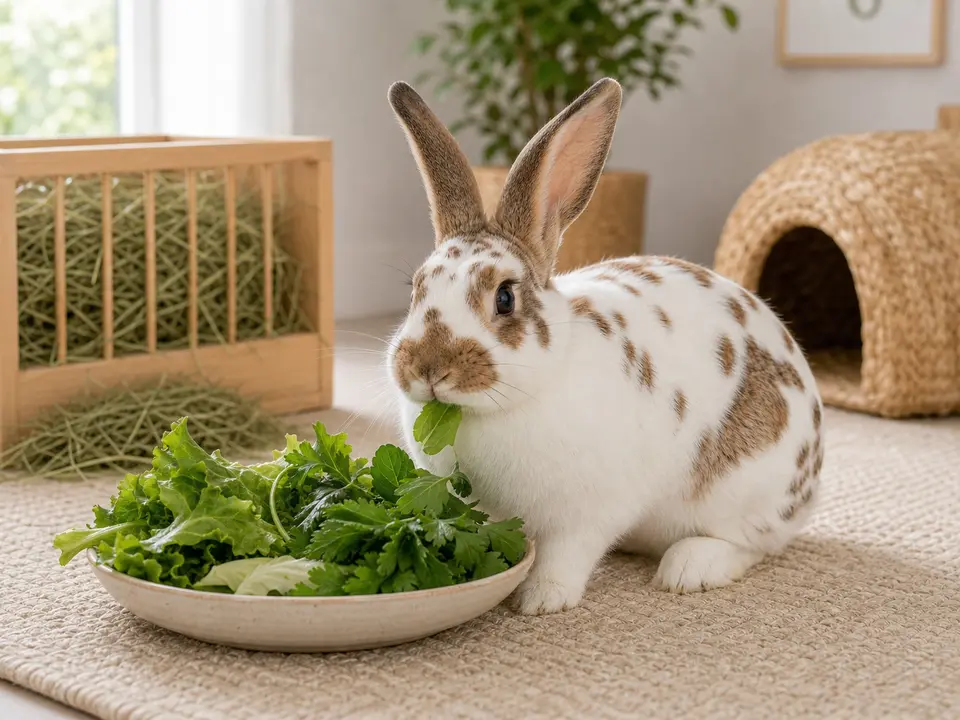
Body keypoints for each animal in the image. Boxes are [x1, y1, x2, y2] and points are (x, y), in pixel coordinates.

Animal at [383, 77, 824, 615]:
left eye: (505, 297)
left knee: (754, 545)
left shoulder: (588, 514)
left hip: (744, 494)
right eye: (416, 289)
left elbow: (566, 556)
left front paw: (542, 599)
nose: (427, 369)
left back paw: (688, 569)